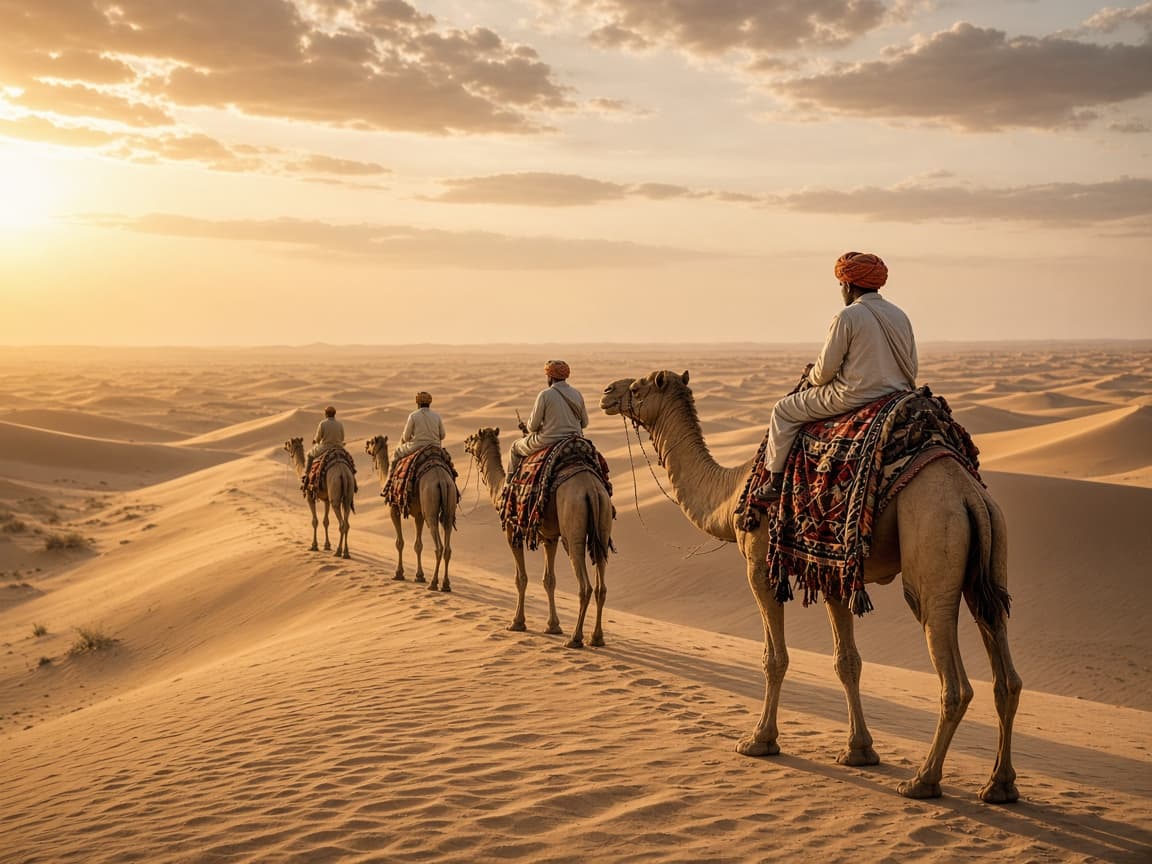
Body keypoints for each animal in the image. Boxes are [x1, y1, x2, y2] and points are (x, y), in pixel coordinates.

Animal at [366, 435, 455, 592]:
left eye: (371, 442)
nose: (366, 446)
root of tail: (442, 480)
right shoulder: (418, 515)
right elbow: (418, 545)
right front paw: (419, 576)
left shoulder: (394, 509)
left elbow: (399, 542)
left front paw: (398, 573)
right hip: (449, 507)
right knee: (448, 546)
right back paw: (445, 585)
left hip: (430, 508)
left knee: (439, 546)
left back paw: (433, 583)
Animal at [463, 427, 613, 648]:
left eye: (474, 437)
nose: (465, 442)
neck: (500, 492)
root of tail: (591, 489)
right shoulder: (549, 538)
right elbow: (549, 580)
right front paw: (553, 626)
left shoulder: (512, 531)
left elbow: (521, 578)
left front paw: (517, 623)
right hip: (602, 526)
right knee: (601, 586)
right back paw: (596, 638)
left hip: (572, 527)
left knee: (585, 585)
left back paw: (575, 638)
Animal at [600, 371, 1021, 803]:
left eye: (638, 388)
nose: (607, 392)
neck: (731, 493)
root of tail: (968, 495)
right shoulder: (834, 571)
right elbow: (847, 661)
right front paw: (859, 751)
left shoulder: (760, 565)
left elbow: (774, 658)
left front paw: (760, 740)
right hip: (990, 561)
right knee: (1006, 675)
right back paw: (998, 785)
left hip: (934, 549)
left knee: (954, 682)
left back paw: (923, 780)